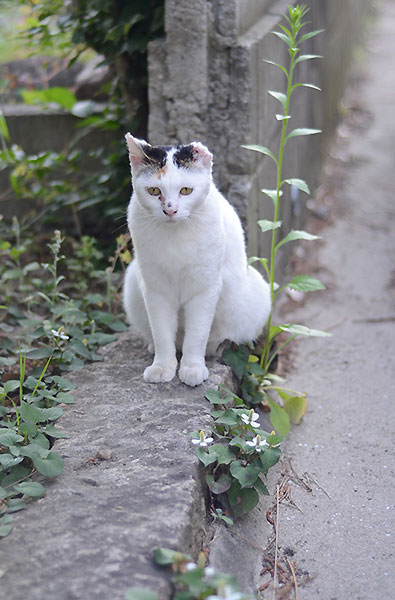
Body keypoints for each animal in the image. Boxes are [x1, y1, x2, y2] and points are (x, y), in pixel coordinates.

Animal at [124, 134, 272, 386]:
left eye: (186, 190)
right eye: (153, 190)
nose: (170, 210)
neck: (175, 236)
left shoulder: (205, 288)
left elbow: (197, 334)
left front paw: (192, 368)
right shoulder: (155, 289)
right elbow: (162, 331)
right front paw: (163, 366)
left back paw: (217, 347)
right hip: (133, 284)